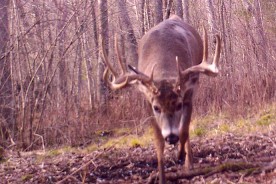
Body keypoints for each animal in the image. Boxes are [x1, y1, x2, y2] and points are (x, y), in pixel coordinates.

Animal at [100, 15, 221, 183]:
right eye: (156, 107)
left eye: (178, 105)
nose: (171, 137)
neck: (164, 71)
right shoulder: (147, 102)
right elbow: (158, 142)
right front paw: (162, 177)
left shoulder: (188, 95)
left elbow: (184, 131)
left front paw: (180, 155)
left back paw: (188, 161)